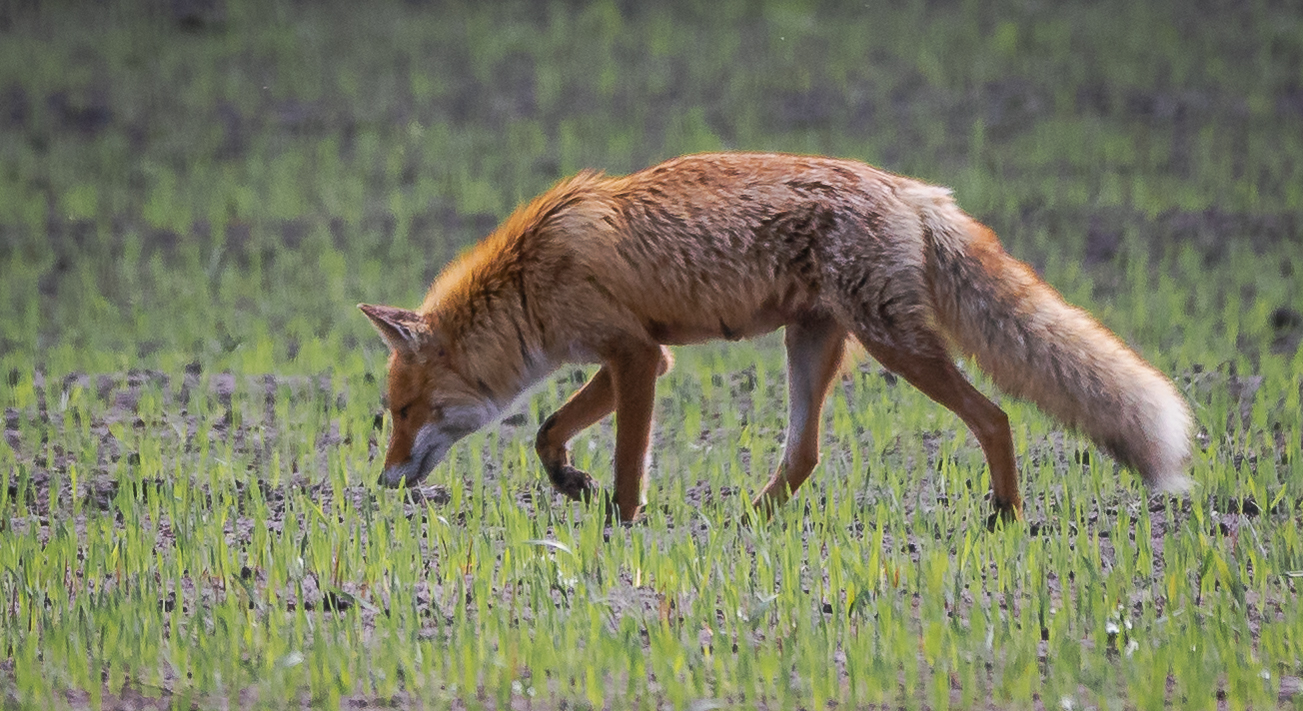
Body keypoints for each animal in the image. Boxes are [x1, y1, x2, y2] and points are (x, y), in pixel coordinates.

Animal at [359, 152, 1193, 520]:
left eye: (400, 411)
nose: (384, 480)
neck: (530, 279)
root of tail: (912, 188)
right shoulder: (637, 352)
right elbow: (545, 431)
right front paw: (570, 481)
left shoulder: (636, 354)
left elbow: (626, 461)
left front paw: (622, 525)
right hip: (812, 345)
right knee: (804, 454)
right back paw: (744, 523)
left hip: (893, 342)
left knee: (993, 416)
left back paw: (1006, 515)